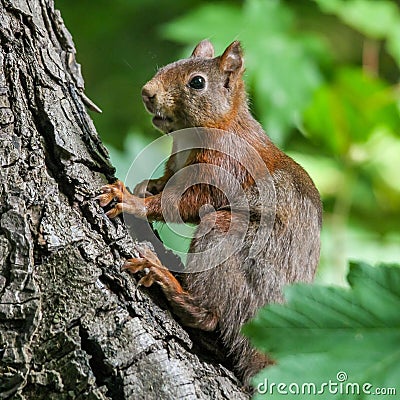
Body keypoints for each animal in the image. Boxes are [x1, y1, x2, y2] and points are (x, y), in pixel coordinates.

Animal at [98, 40, 324, 384]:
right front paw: (144, 187)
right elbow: (165, 183)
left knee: (210, 316)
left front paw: (133, 201)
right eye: (168, 65)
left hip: (226, 238)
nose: (147, 92)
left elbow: (183, 204)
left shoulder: (224, 167)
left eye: (197, 83)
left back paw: (165, 278)